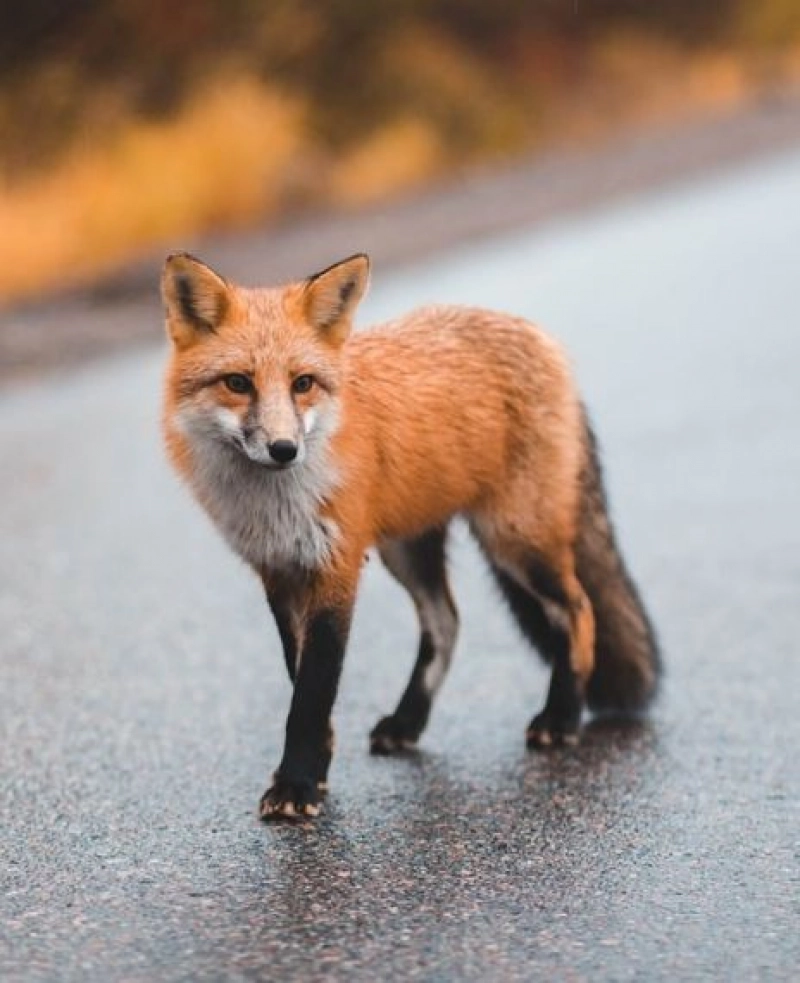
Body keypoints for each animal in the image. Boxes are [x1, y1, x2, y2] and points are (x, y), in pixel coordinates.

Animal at [159, 250, 660, 820]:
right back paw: (408, 722)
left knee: (578, 610)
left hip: (515, 539)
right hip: (408, 549)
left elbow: (312, 691)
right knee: (447, 622)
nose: (285, 450)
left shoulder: (337, 567)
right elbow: (300, 680)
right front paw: (317, 768)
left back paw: (561, 717)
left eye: (302, 383)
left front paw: (297, 783)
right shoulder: (280, 571)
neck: (276, 503)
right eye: (238, 383)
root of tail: (536, 334)